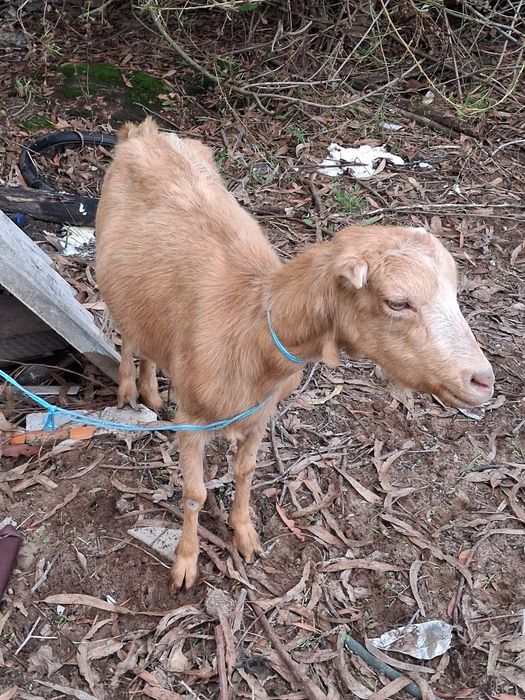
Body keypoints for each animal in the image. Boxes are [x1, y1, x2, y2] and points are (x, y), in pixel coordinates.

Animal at [96, 118, 494, 589]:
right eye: (398, 302)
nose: (483, 381)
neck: (250, 325)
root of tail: (143, 132)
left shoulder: (261, 411)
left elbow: (245, 472)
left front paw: (244, 535)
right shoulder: (192, 419)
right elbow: (194, 493)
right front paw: (186, 563)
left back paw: (152, 392)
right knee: (126, 333)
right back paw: (127, 391)